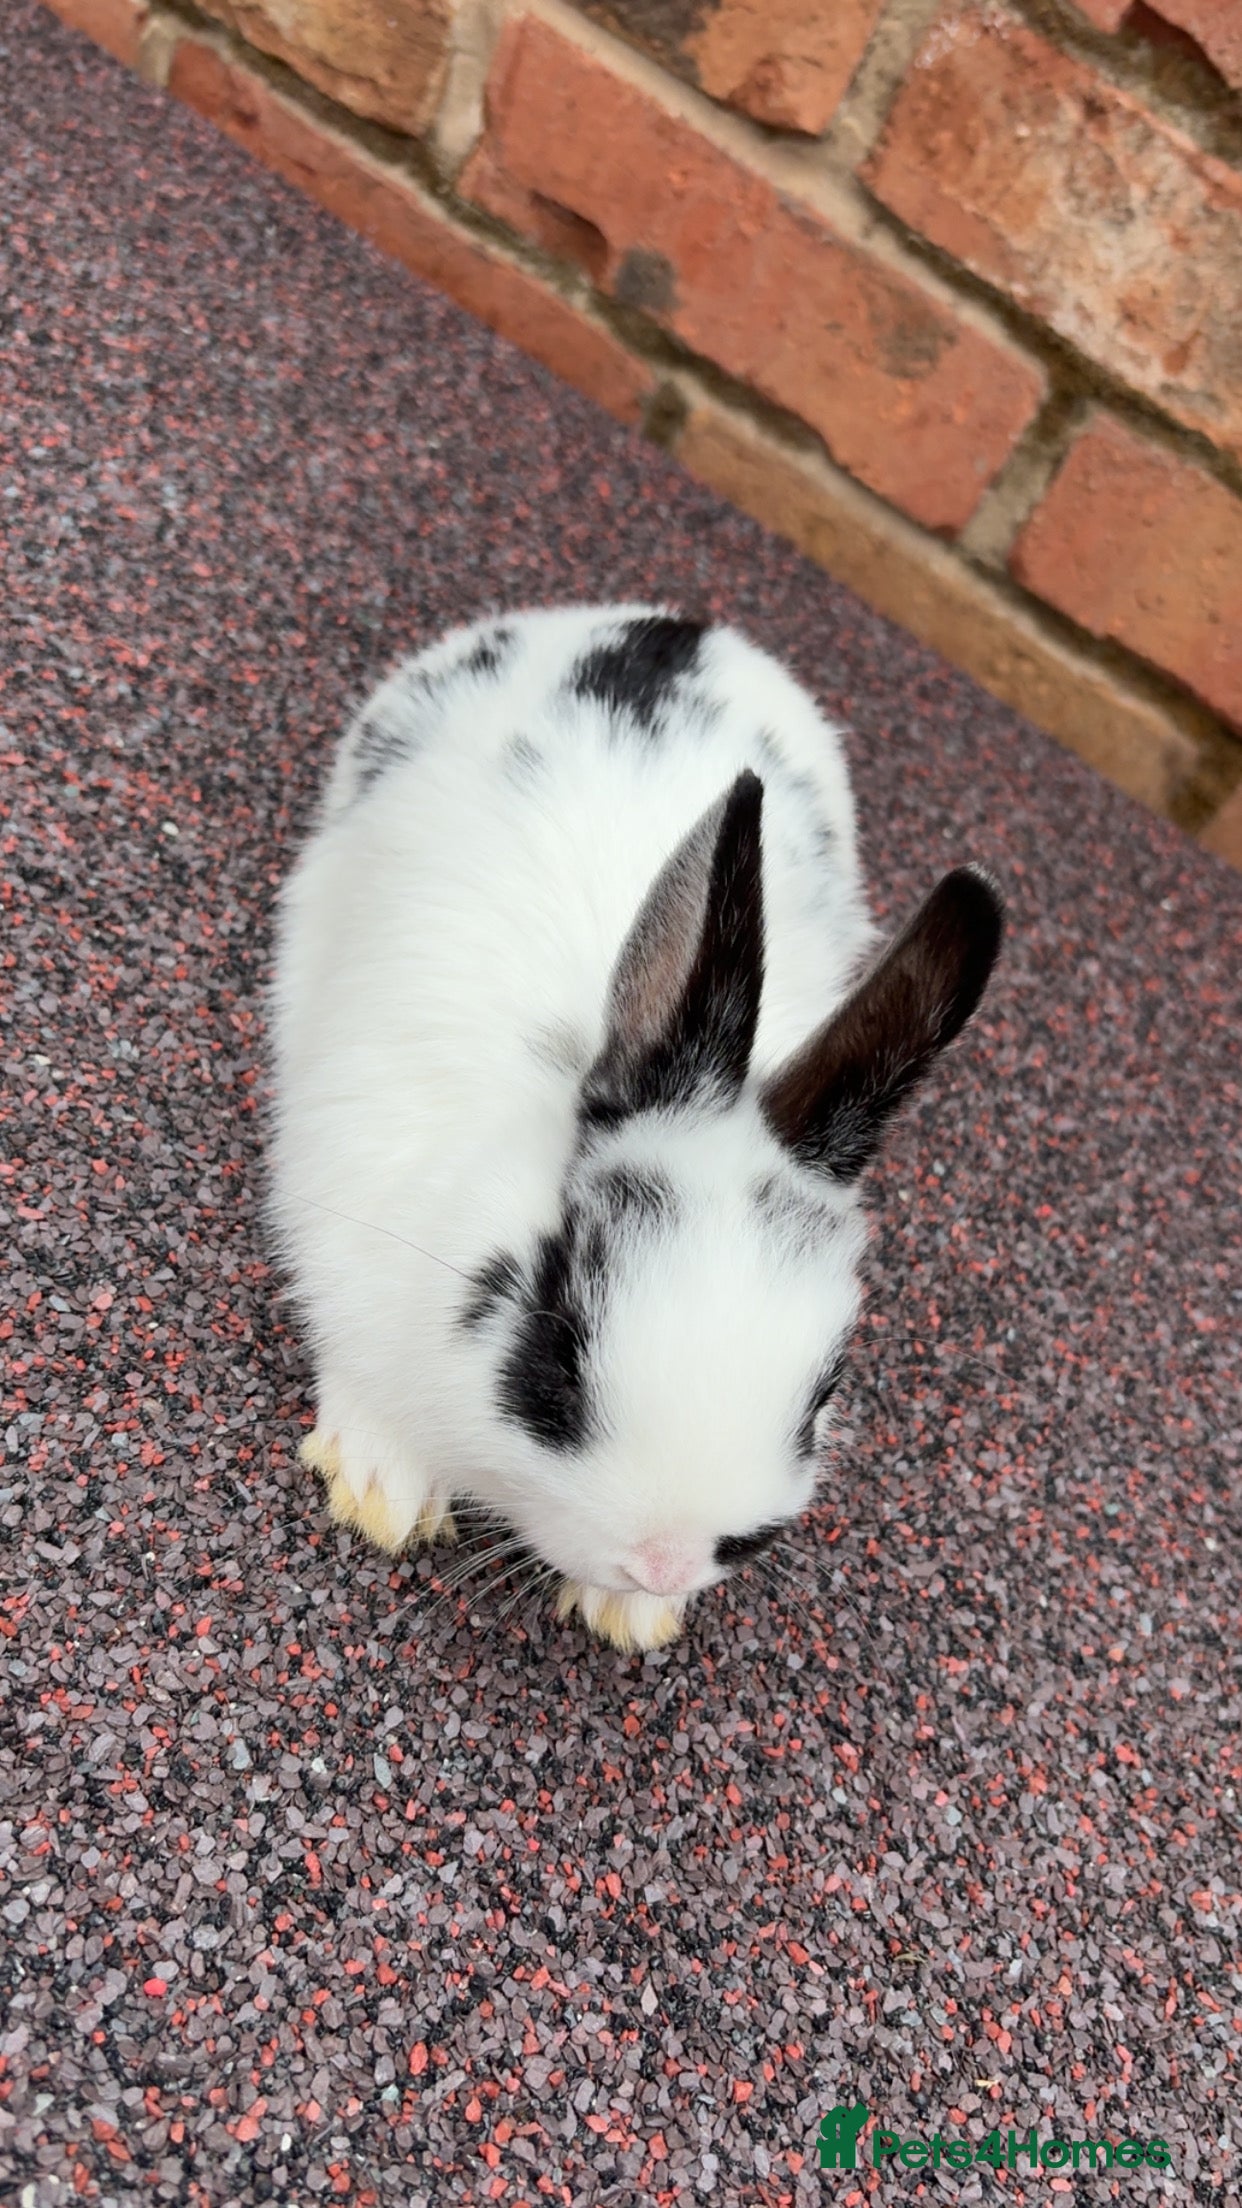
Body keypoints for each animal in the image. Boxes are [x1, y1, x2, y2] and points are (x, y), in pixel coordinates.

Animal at [268, 604, 1003, 1653]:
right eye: (557, 1350)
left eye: (821, 1398)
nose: (665, 1558)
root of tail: (665, 625)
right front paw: (381, 1489)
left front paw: (632, 1615)